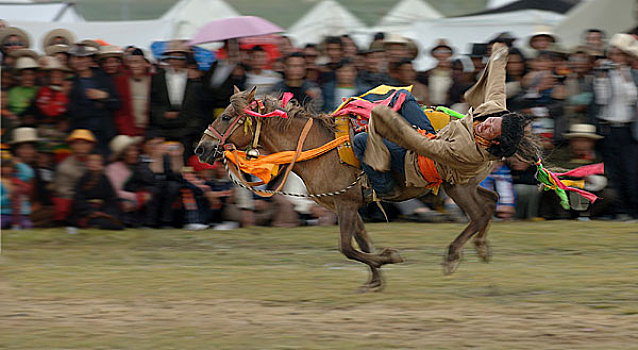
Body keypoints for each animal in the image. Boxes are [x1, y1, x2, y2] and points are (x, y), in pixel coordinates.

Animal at [196, 87, 500, 292]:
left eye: (226, 117)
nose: (201, 149)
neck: (316, 148)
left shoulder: (345, 205)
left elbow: (347, 248)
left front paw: (388, 258)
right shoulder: (349, 204)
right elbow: (361, 242)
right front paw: (375, 279)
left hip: (456, 184)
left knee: (478, 213)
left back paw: (453, 256)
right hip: (465, 183)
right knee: (490, 200)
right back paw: (483, 247)